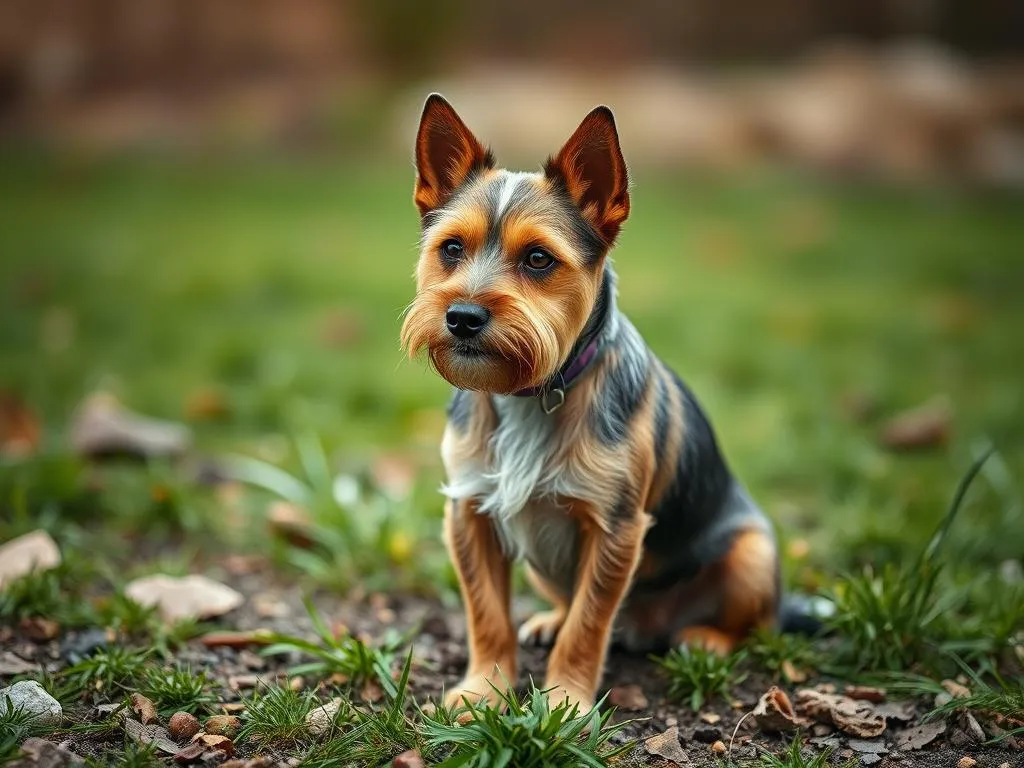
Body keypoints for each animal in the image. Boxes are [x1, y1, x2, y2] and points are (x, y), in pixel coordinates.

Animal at [399, 96, 774, 716]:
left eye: (538, 259)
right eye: (450, 248)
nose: (463, 317)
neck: (530, 394)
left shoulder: (614, 528)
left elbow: (589, 623)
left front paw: (564, 704)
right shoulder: (470, 513)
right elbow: (487, 614)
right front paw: (482, 691)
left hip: (753, 556)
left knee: (757, 625)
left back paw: (707, 640)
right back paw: (549, 620)